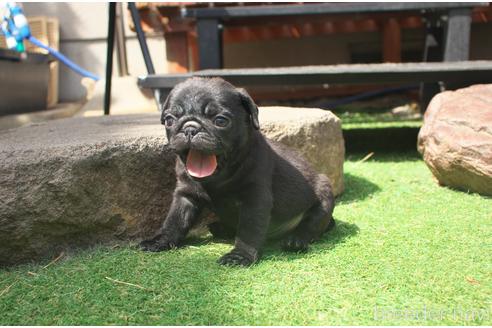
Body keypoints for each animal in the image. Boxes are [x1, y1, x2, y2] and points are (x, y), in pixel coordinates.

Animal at [140, 77, 336, 266]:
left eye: (220, 121)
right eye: (169, 120)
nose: (190, 128)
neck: (217, 177)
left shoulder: (254, 199)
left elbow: (248, 230)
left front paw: (240, 256)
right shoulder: (186, 195)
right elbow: (175, 220)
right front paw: (160, 240)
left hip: (324, 195)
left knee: (312, 224)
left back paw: (296, 240)